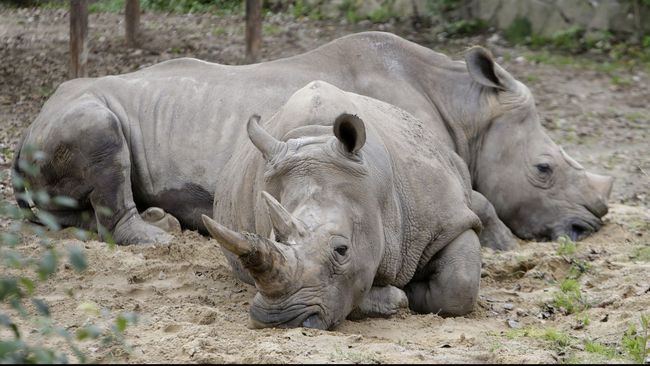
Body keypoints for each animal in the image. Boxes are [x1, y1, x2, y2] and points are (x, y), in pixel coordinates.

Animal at [12, 32, 612, 252]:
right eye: (543, 169)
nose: (590, 225)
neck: (468, 111)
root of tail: (24, 134)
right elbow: (480, 199)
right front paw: (505, 246)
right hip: (76, 114)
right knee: (102, 136)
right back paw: (161, 237)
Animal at [200, 81, 484, 328]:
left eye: (342, 250)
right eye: (274, 238)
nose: (278, 319)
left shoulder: (449, 221)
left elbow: (459, 283)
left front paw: (411, 290)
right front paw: (396, 297)